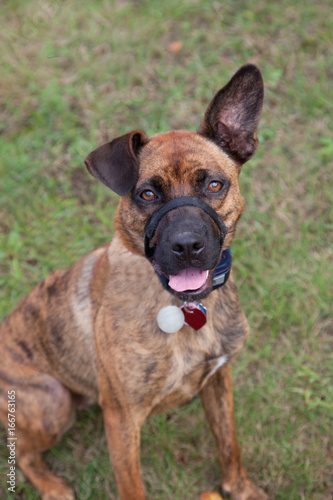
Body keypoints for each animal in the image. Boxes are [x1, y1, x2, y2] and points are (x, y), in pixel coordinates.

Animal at [0, 64, 268, 498]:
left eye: (214, 185)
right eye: (146, 194)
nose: (187, 246)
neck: (183, 308)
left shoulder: (218, 378)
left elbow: (229, 443)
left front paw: (241, 489)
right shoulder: (122, 420)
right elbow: (132, 487)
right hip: (53, 402)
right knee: (21, 451)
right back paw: (53, 487)